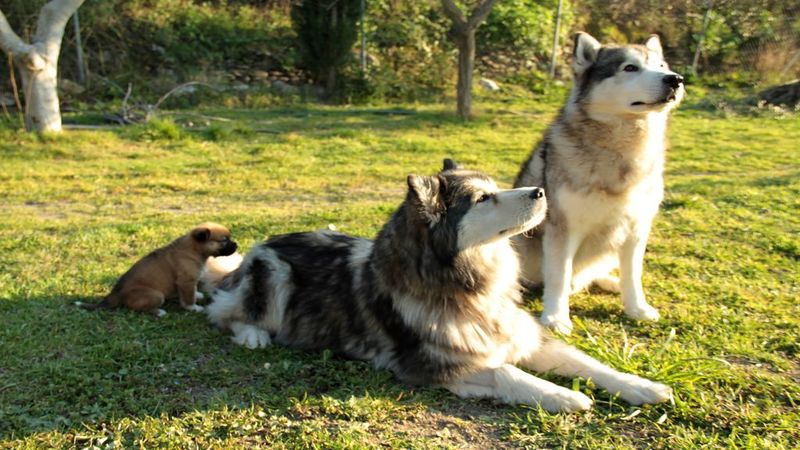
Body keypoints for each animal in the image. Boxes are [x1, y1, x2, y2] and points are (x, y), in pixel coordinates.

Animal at [78, 224, 238, 316]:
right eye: (224, 240)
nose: (236, 245)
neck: (193, 249)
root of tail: (115, 293)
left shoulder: (186, 283)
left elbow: (190, 293)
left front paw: (196, 295)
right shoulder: (186, 281)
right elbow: (188, 298)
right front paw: (193, 308)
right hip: (156, 295)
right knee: (137, 308)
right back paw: (159, 311)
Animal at [205, 161, 668, 412]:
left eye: (497, 187)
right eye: (483, 198)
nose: (541, 190)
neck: (467, 286)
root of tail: (262, 245)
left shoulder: (525, 338)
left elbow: (591, 364)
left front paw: (642, 386)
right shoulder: (430, 366)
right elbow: (507, 372)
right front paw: (562, 396)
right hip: (274, 273)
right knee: (222, 311)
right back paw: (253, 335)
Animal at [516, 32, 684, 334]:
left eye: (662, 66)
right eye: (630, 68)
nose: (675, 79)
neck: (620, 153)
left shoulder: (637, 229)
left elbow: (633, 274)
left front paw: (637, 308)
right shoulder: (563, 229)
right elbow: (559, 276)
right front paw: (556, 317)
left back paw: (610, 282)